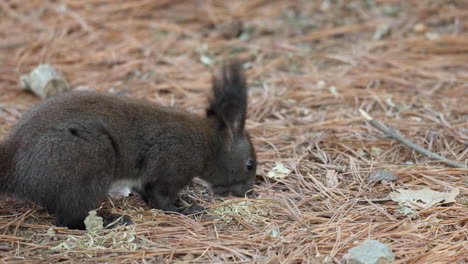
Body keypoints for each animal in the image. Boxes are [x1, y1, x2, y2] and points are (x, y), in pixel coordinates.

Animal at [0, 61, 256, 229]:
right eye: (250, 164)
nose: (249, 191)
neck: (205, 143)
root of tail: (14, 166)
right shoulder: (171, 163)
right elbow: (161, 197)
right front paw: (183, 209)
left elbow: (148, 192)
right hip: (87, 158)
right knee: (70, 219)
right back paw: (112, 221)